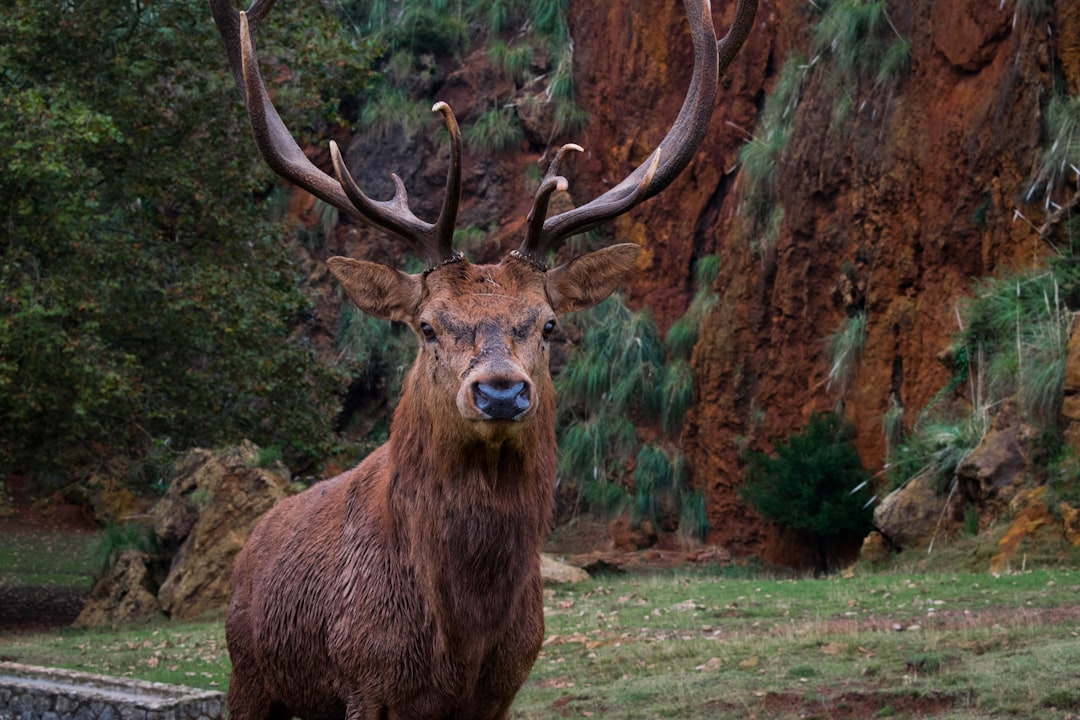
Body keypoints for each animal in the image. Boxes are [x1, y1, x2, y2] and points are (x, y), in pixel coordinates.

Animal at [206, 0, 756, 716]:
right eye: (426, 327)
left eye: (548, 324)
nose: (500, 391)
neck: (462, 636)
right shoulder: (365, 679)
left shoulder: (504, 684)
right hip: (249, 676)